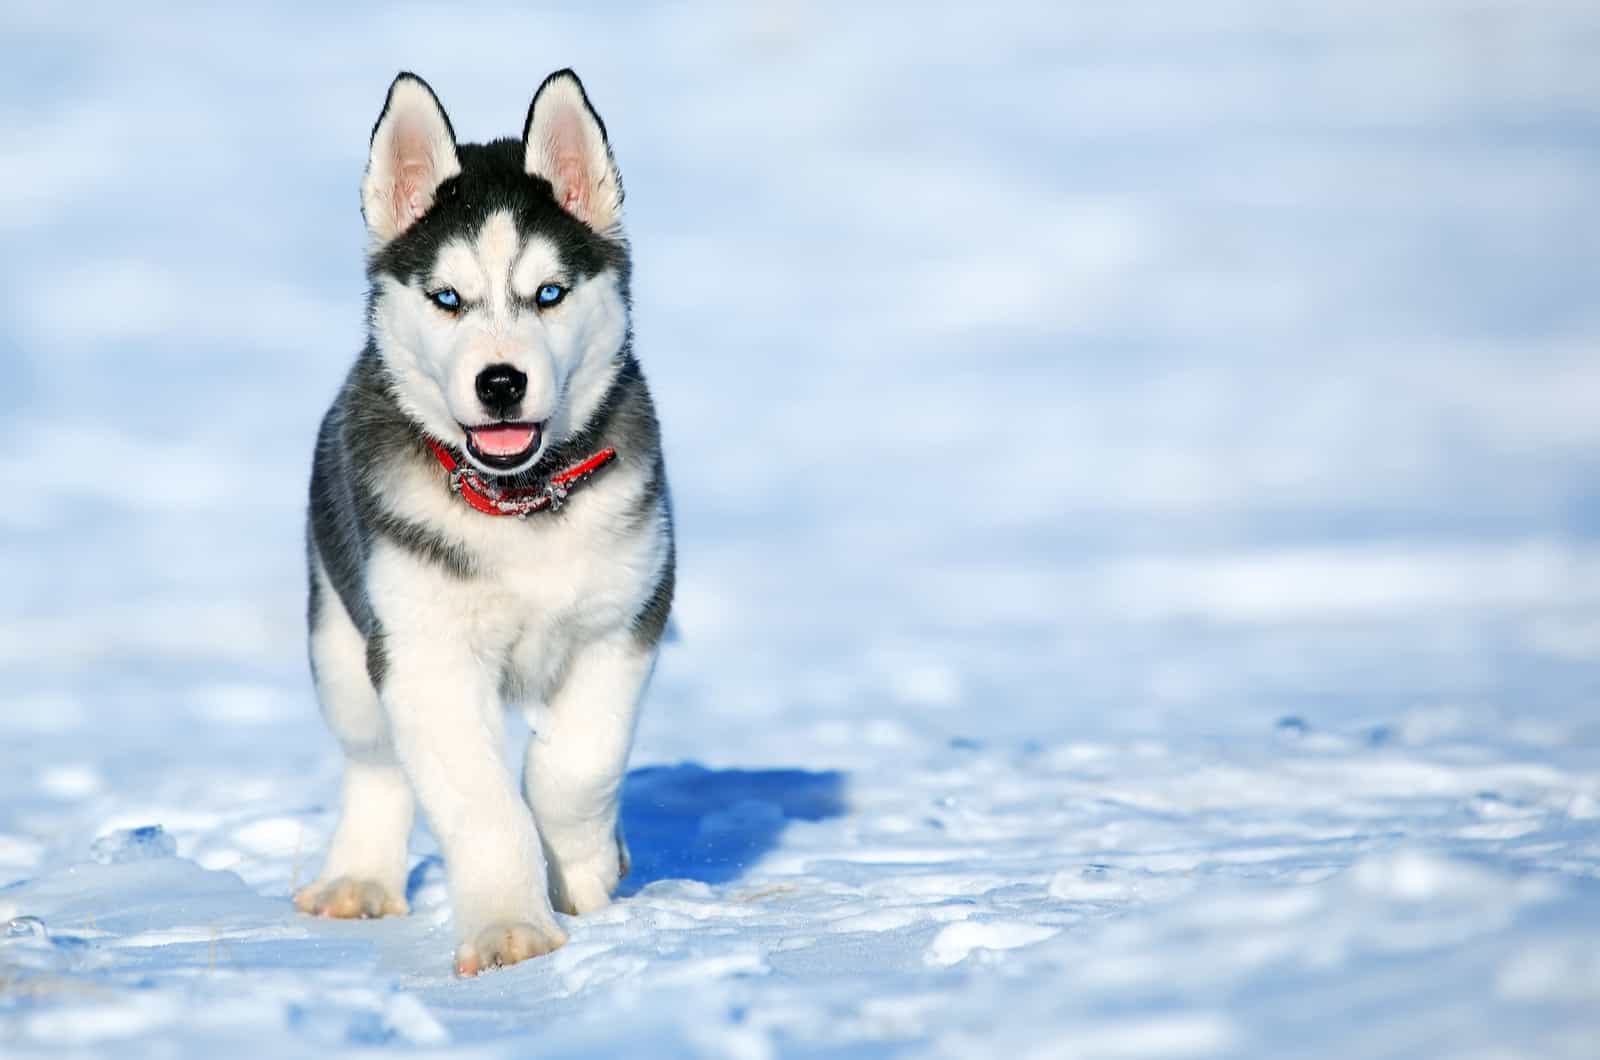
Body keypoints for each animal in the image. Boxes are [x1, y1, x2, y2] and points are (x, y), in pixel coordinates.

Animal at [297, 68, 672, 979]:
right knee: (375, 763)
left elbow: (576, 766)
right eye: (448, 299)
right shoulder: (423, 653)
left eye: (548, 294)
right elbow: (479, 799)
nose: (501, 382)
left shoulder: (626, 619)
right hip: (341, 638)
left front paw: (586, 868)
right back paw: (357, 878)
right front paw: (512, 927)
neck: (518, 503)